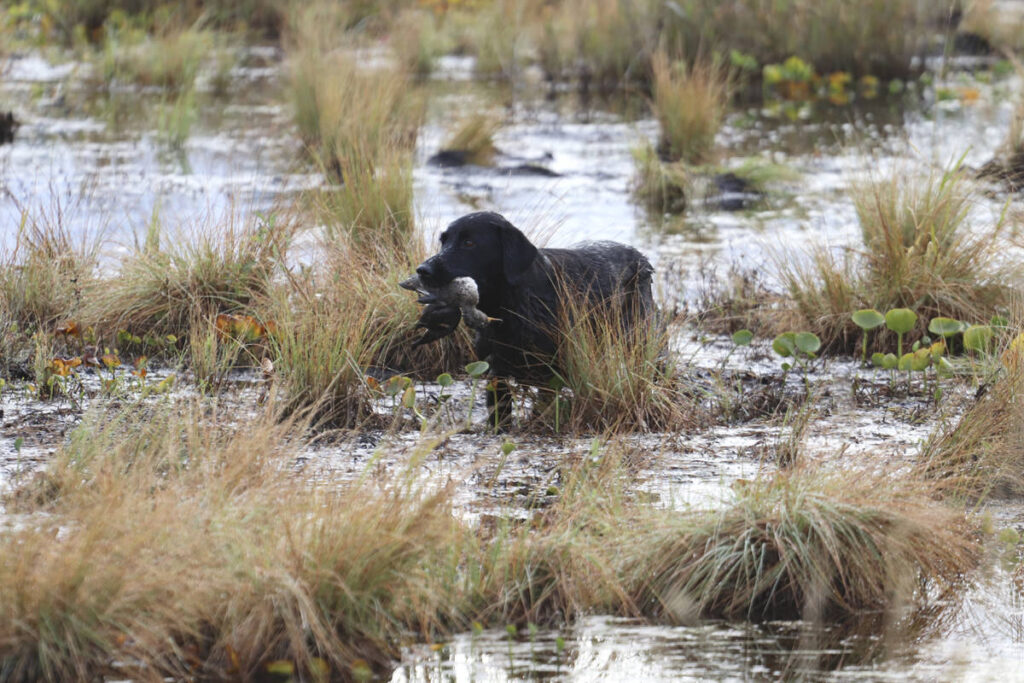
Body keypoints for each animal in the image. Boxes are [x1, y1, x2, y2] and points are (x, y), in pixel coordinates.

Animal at [411, 211, 651, 428]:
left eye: (469, 242)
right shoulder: (496, 370)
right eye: (443, 241)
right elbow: (499, 411)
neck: (509, 306)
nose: (423, 270)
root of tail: (642, 260)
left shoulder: (551, 373)